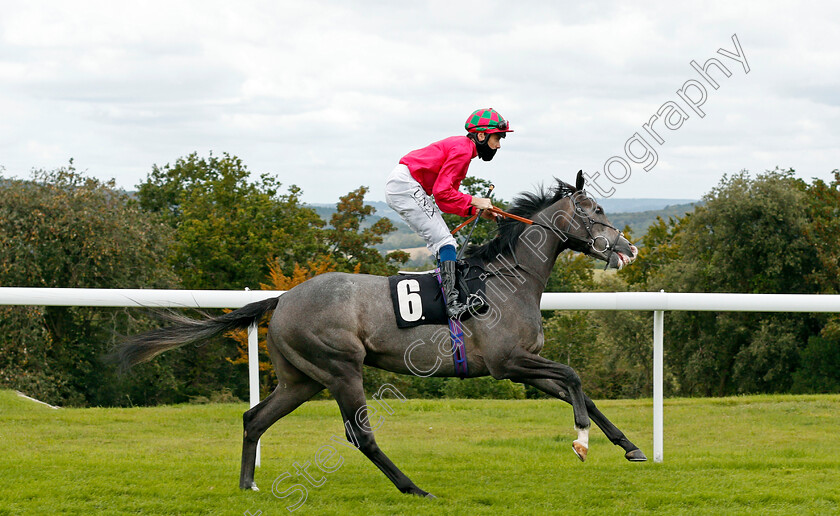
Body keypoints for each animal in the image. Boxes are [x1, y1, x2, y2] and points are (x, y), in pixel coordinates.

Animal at [116, 171, 644, 498]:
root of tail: (283, 298)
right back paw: (414, 487)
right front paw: (581, 442)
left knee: (254, 418)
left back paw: (248, 485)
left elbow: (580, 390)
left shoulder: (519, 368)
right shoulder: (507, 363)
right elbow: (574, 377)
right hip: (340, 368)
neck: (507, 279)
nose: (627, 249)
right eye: (594, 210)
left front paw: (629, 446)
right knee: (360, 436)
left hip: (301, 379)